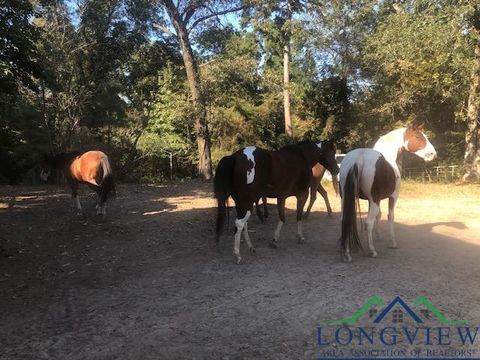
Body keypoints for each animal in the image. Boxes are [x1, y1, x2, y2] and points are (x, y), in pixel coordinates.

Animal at [336, 125, 436, 260]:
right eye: (418, 136)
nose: (433, 153)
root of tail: (359, 157)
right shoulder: (392, 197)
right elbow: (390, 216)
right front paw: (392, 243)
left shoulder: (371, 201)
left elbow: (379, 215)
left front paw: (378, 235)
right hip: (373, 200)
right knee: (368, 223)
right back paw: (372, 251)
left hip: (346, 198)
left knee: (345, 220)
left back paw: (347, 254)